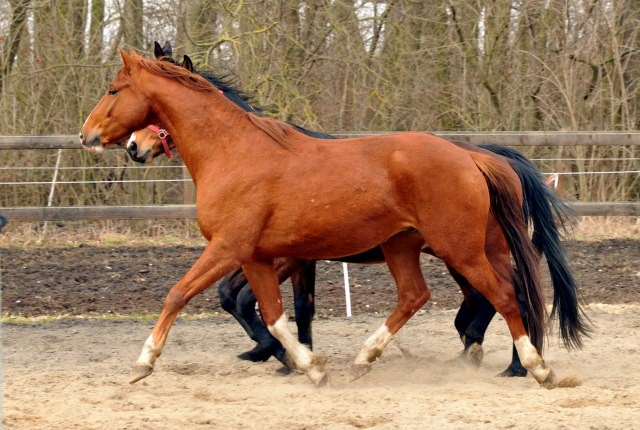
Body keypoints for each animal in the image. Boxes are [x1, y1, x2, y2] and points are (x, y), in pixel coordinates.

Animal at [81, 48, 592, 388]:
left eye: (112, 90)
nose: (90, 136)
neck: (233, 152)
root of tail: (473, 156)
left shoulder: (230, 248)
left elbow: (179, 294)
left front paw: (144, 362)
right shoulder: (259, 256)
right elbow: (275, 316)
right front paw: (305, 365)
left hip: (459, 249)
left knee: (504, 296)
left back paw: (533, 367)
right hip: (414, 246)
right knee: (423, 295)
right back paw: (373, 358)